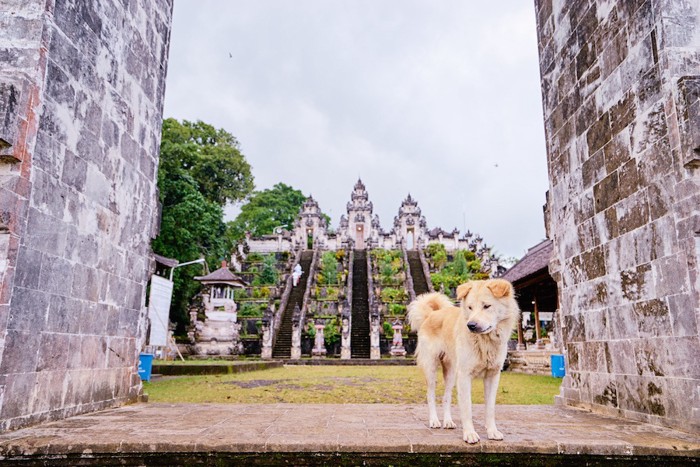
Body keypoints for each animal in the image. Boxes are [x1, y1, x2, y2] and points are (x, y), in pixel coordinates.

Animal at [404, 280, 520, 444]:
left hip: (451, 373)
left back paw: (448, 422)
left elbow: (490, 408)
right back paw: (434, 421)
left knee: (446, 397)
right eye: (470, 307)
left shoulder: (493, 375)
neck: (485, 342)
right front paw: (470, 434)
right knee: (430, 395)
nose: (471, 325)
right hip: (431, 368)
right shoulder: (465, 376)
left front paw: (492, 431)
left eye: (487, 306)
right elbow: (467, 408)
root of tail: (431, 315)